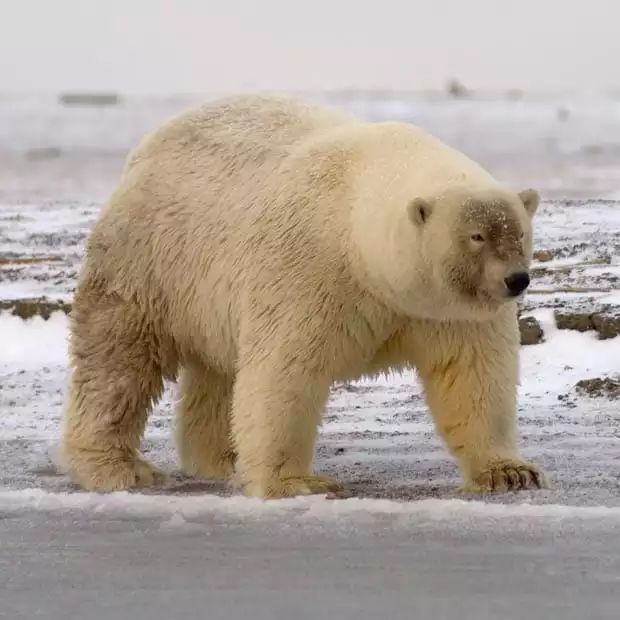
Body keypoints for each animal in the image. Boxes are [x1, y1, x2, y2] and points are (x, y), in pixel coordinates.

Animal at [60, 93, 544, 498]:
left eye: (519, 232)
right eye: (477, 236)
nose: (516, 280)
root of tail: (145, 148)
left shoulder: (446, 309)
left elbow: (474, 374)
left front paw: (510, 472)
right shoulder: (310, 269)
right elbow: (284, 371)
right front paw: (298, 482)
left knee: (218, 373)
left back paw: (223, 457)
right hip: (150, 259)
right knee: (119, 360)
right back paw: (116, 467)